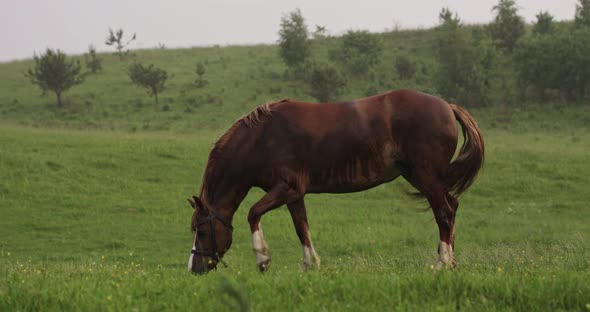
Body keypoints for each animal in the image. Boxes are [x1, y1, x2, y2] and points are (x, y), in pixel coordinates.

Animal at [186, 89, 486, 272]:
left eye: (201, 231)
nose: (194, 268)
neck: (261, 139)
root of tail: (447, 106)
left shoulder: (286, 188)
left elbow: (253, 213)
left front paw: (263, 258)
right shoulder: (294, 194)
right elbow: (302, 228)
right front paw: (310, 266)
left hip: (426, 176)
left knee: (444, 213)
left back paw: (442, 263)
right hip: (420, 176)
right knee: (451, 207)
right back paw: (451, 262)